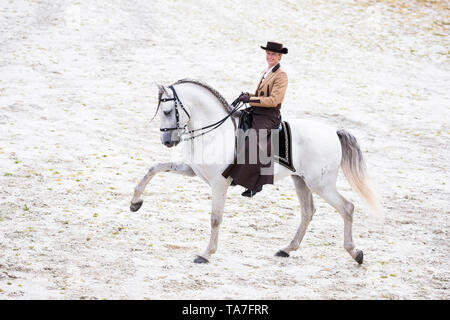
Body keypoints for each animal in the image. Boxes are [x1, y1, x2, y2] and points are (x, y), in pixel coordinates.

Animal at [130, 79, 384, 264]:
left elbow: (215, 218)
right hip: (300, 180)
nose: (167, 141)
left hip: (320, 184)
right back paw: (287, 249)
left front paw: (205, 254)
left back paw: (355, 253)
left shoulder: (219, 183)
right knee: (308, 211)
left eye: (167, 111)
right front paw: (135, 202)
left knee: (347, 208)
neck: (214, 132)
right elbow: (154, 169)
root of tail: (333, 132)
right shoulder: (192, 170)